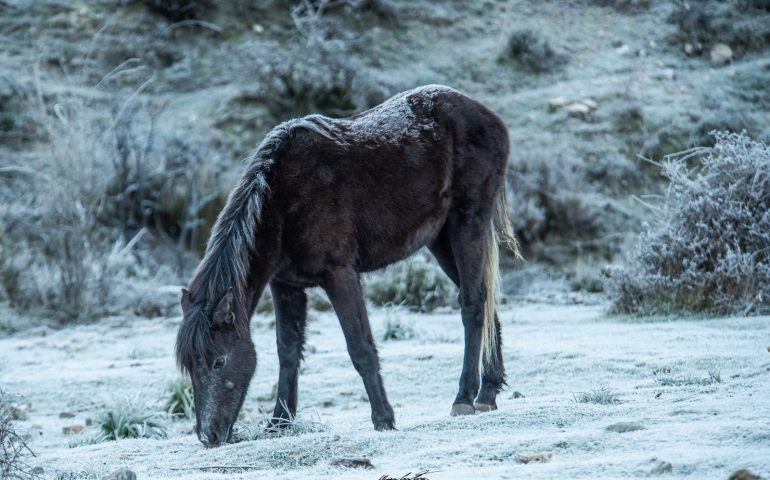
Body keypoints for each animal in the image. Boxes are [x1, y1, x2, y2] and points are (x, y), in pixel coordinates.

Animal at [177, 84, 520, 448]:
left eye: (218, 361)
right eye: (190, 366)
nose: (209, 436)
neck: (282, 202)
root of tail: (487, 116)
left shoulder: (339, 275)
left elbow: (360, 347)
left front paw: (384, 418)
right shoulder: (286, 285)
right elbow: (288, 351)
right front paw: (279, 422)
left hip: (467, 223)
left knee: (472, 304)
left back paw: (465, 398)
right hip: (440, 239)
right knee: (486, 299)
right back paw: (488, 392)